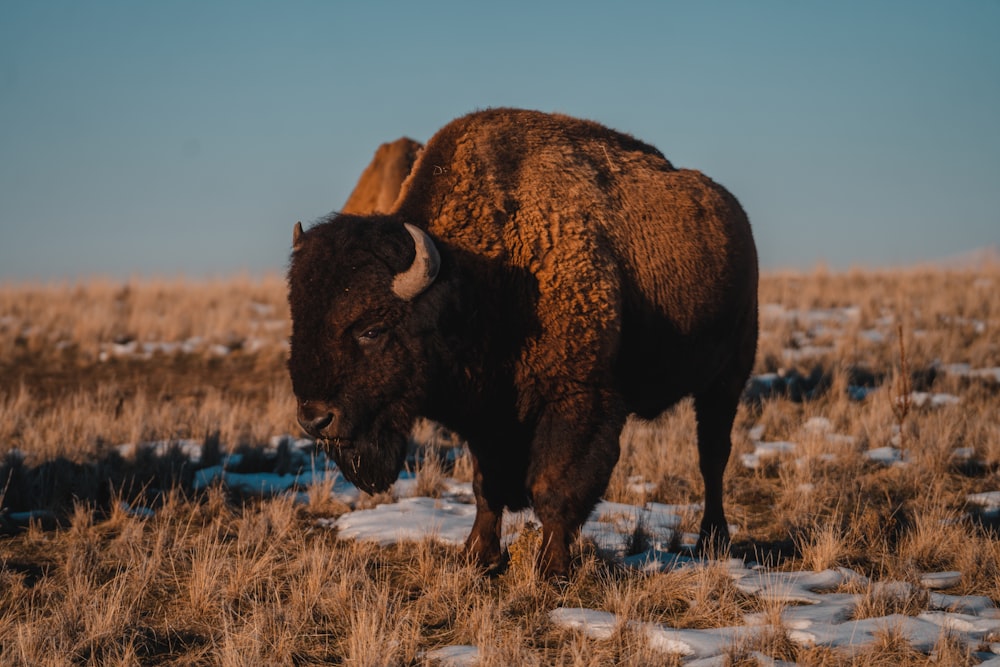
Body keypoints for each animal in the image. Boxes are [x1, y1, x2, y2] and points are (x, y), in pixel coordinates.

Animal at [290, 109, 756, 580]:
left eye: (371, 329)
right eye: (299, 319)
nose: (315, 419)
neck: (477, 276)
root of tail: (735, 216)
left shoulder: (576, 401)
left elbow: (554, 487)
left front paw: (551, 569)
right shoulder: (487, 413)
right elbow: (487, 486)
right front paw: (477, 557)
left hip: (727, 377)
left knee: (712, 455)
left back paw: (712, 539)